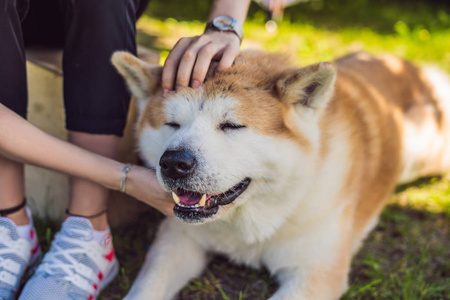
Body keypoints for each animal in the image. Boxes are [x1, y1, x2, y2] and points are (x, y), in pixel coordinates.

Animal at [111, 50, 450, 298]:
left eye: (231, 125)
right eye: (172, 124)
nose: (173, 163)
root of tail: (407, 65)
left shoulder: (314, 274)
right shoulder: (177, 241)